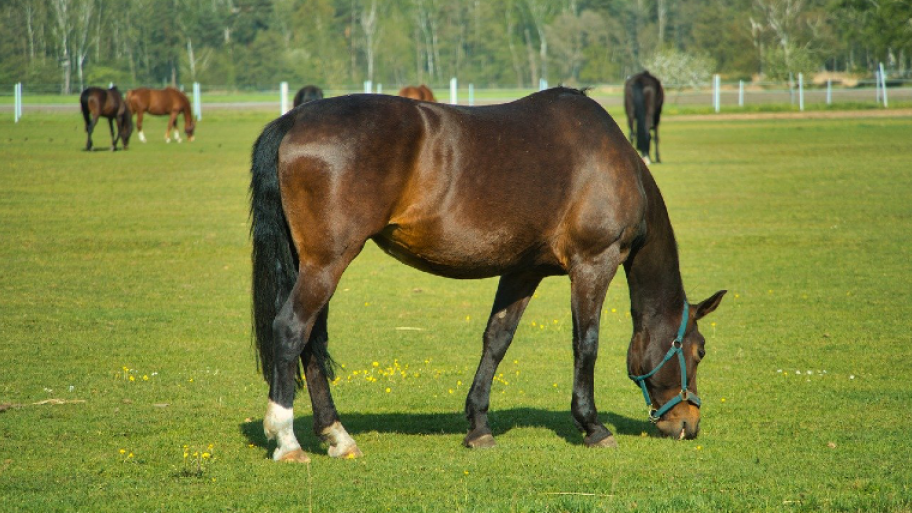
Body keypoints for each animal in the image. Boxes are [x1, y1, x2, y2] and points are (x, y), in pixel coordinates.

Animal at [249, 87, 725, 463]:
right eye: (699, 351)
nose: (689, 424)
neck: (607, 159)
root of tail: (294, 119)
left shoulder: (523, 271)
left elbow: (497, 340)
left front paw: (478, 425)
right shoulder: (595, 263)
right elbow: (585, 344)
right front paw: (592, 426)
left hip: (314, 264)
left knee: (312, 340)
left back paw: (337, 435)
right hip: (327, 262)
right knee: (292, 329)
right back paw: (287, 440)